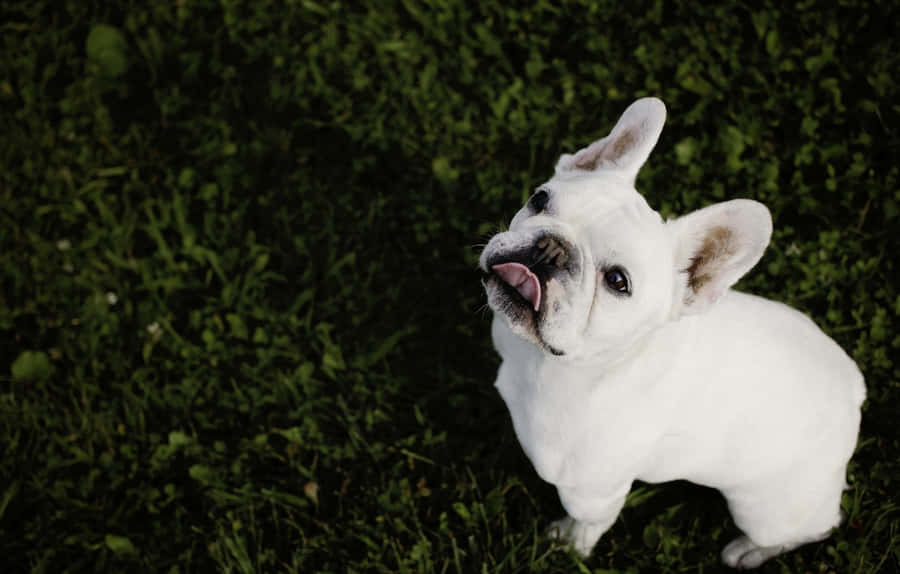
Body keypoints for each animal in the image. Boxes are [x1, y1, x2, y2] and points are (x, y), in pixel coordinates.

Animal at [478, 99, 864, 572]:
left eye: (618, 281)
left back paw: (750, 551)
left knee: (815, 527)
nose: (551, 248)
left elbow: (587, 525)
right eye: (539, 199)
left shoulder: (593, 491)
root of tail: (853, 388)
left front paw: (569, 545)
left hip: (764, 508)